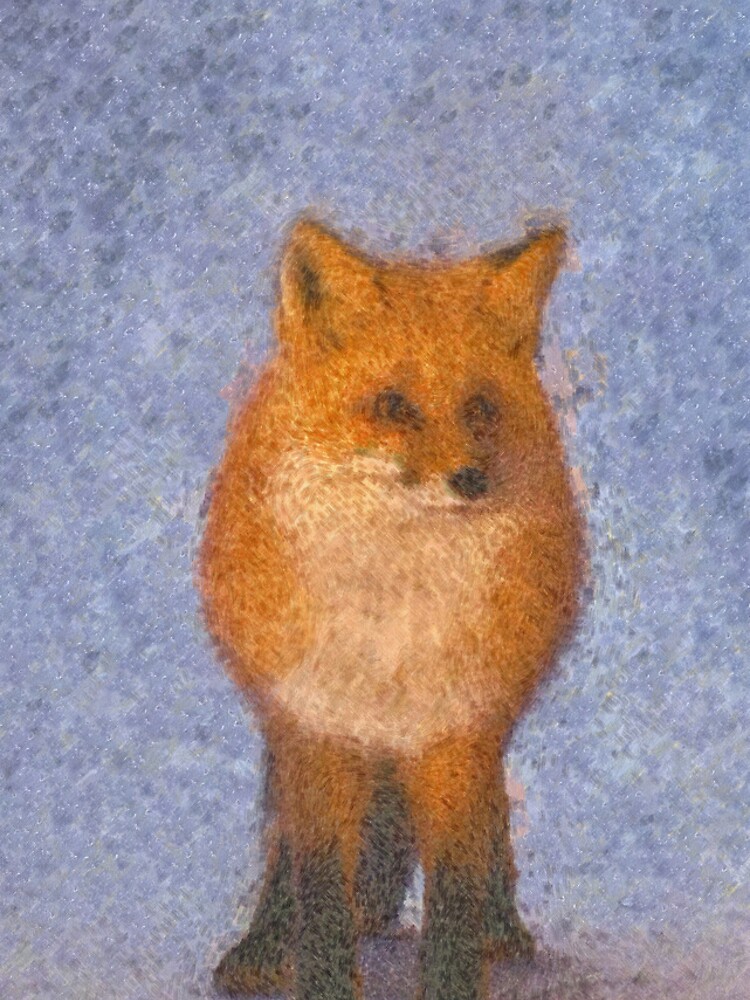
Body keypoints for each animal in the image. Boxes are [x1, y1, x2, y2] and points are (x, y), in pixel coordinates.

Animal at [197, 216, 584, 1000]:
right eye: (394, 406)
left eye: (481, 408)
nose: (469, 481)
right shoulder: (317, 729)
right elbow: (318, 886)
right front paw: (316, 975)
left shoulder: (456, 731)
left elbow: (455, 891)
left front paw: (457, 974)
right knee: (283, 851)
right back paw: (263, 944)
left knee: (493, 823)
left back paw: (504, 929)